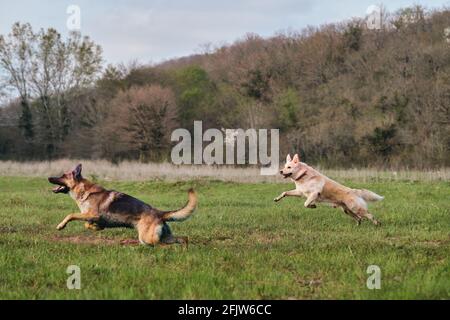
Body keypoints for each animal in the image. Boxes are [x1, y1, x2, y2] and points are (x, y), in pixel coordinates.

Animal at [48, 164, 198, 246]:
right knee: (183, 239)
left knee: (161, 246)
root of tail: (159, 213)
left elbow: (71, 214)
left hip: (147, 239)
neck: (83, 191)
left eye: (62, 175)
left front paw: (61, 226)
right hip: (165, 237)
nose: (49, 178)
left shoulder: (92, 214)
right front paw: (96, 227)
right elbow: (87, 224)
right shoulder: (90, 216)